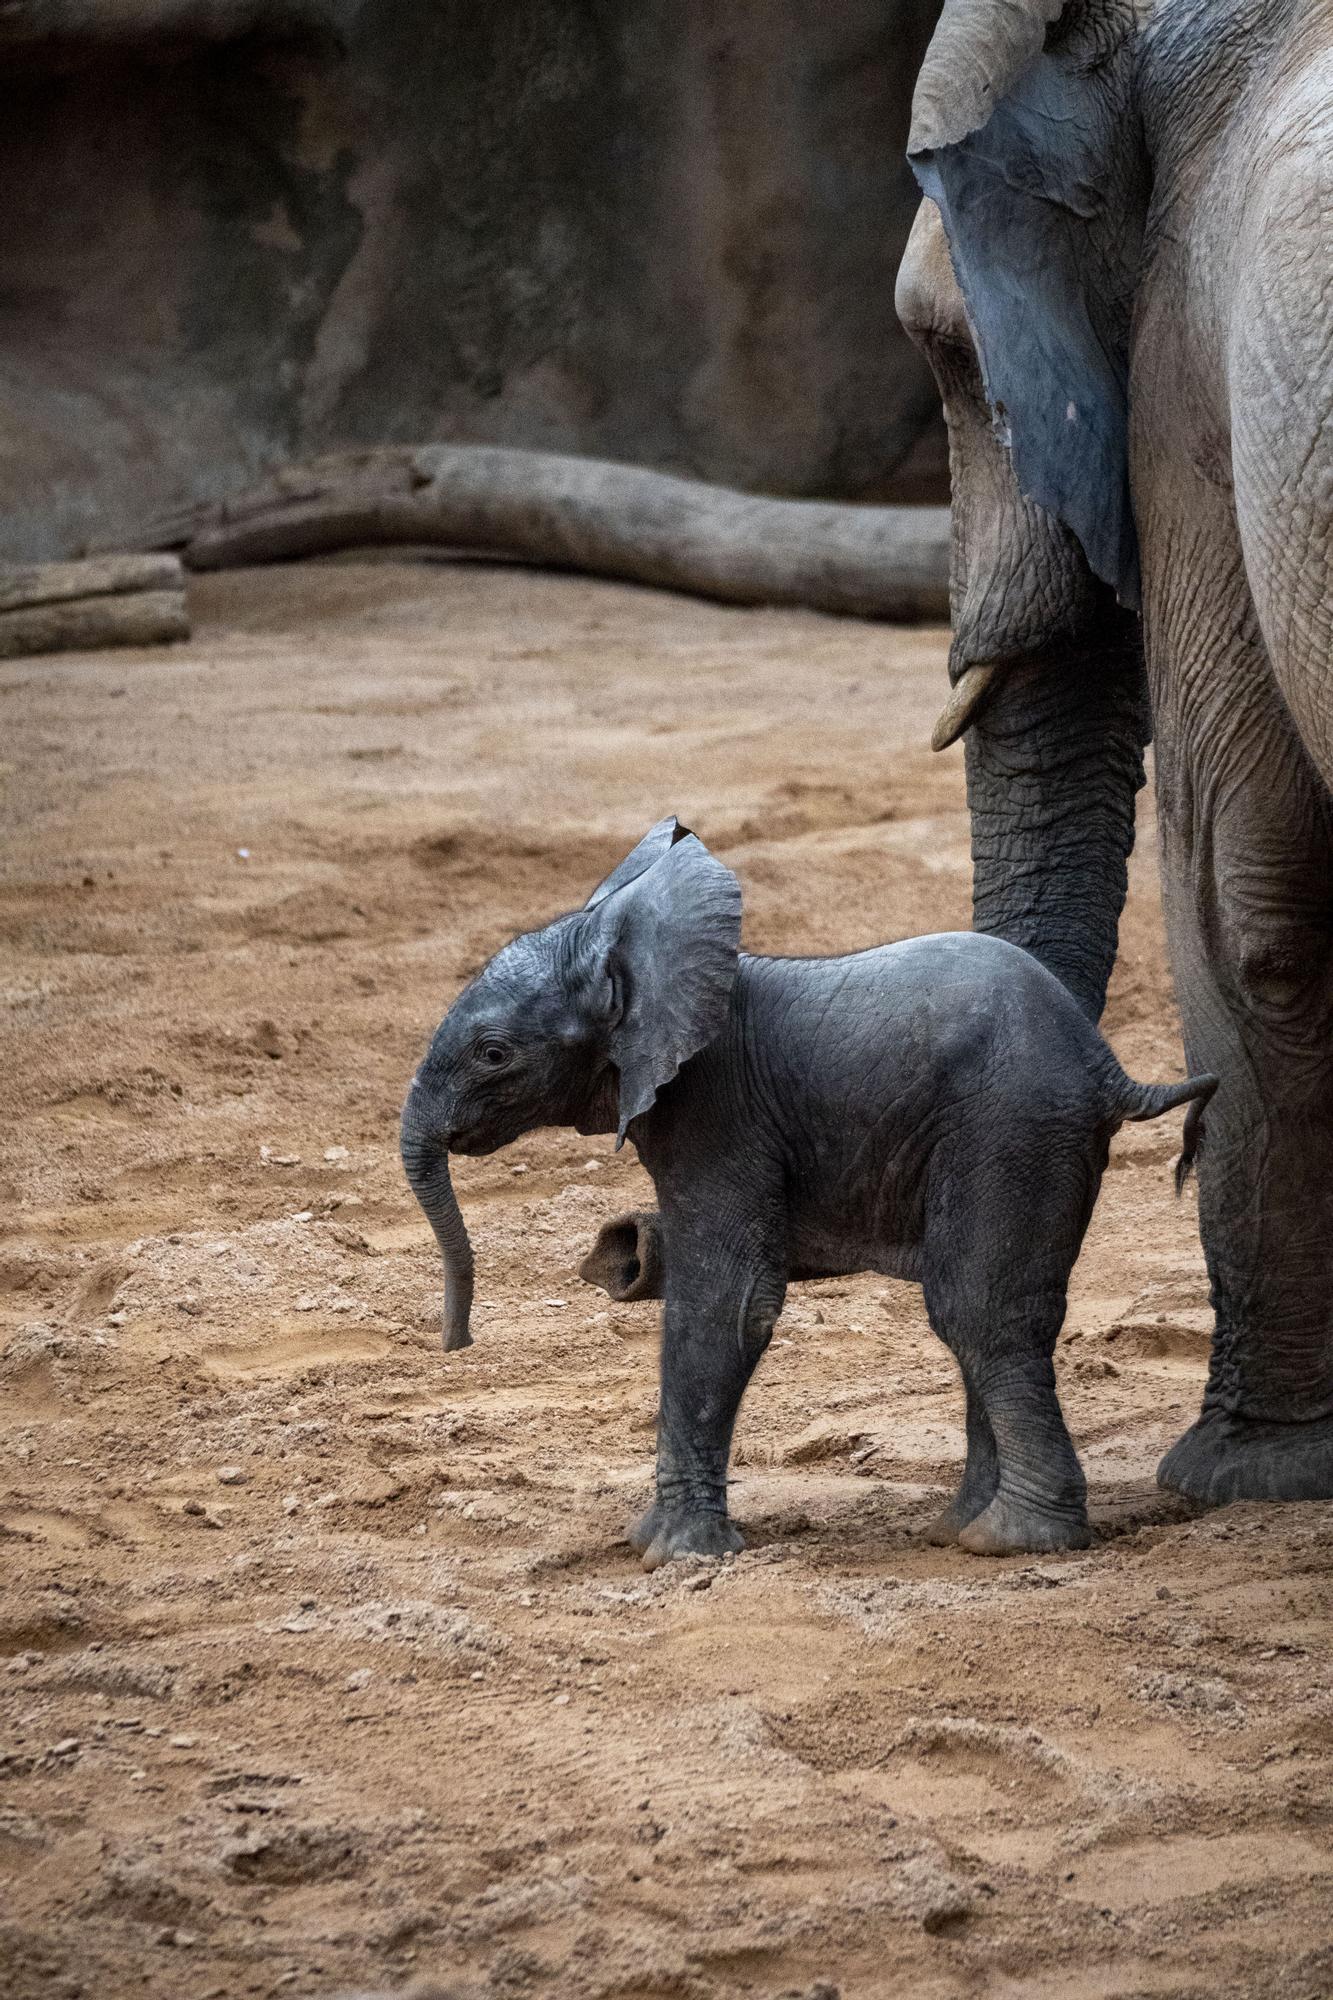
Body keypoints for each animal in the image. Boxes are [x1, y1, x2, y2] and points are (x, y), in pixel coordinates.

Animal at [396, 820, 1216, 1568]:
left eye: (493, 1054)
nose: (456, 1343)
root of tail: (1107, 1067)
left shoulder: (718, 1113)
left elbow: (726, 1303)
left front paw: (675, 1556)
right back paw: (958, 1529)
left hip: (1010, 1128)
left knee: (979, 1312)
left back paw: (1012, 1540)